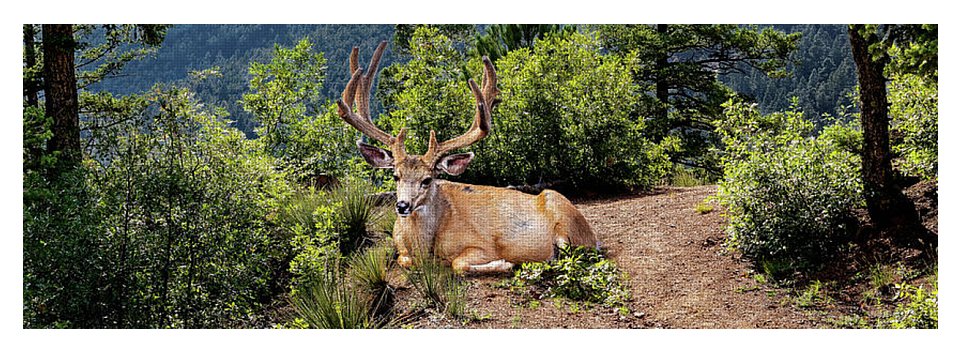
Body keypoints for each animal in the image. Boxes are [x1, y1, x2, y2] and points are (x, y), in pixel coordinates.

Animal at [336, 41, 592, 274]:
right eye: (396, 176)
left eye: (427, 179)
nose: (402, 205)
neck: (423, 247)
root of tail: (592, 234)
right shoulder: (402, 250)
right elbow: (403, 260)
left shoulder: (482, 245)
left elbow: (458, 264)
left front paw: (505, 263)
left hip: (564, 218)